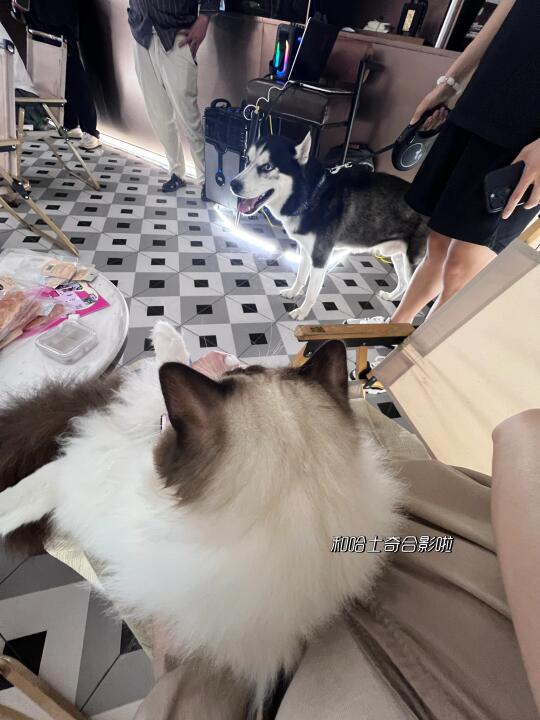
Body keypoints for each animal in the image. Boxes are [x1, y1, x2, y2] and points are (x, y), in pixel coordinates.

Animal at [230, 134, 428, 320]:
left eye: (268, 167)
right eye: (247, 160)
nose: (233, 184)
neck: (313, 195)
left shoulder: (320, 257)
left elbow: (311, 291)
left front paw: (302, 312)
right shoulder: (306, 251)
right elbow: (301, 277)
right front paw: (293, 292)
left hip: (415, 265)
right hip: (398, 256)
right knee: (403, 283)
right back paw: (391, 297)